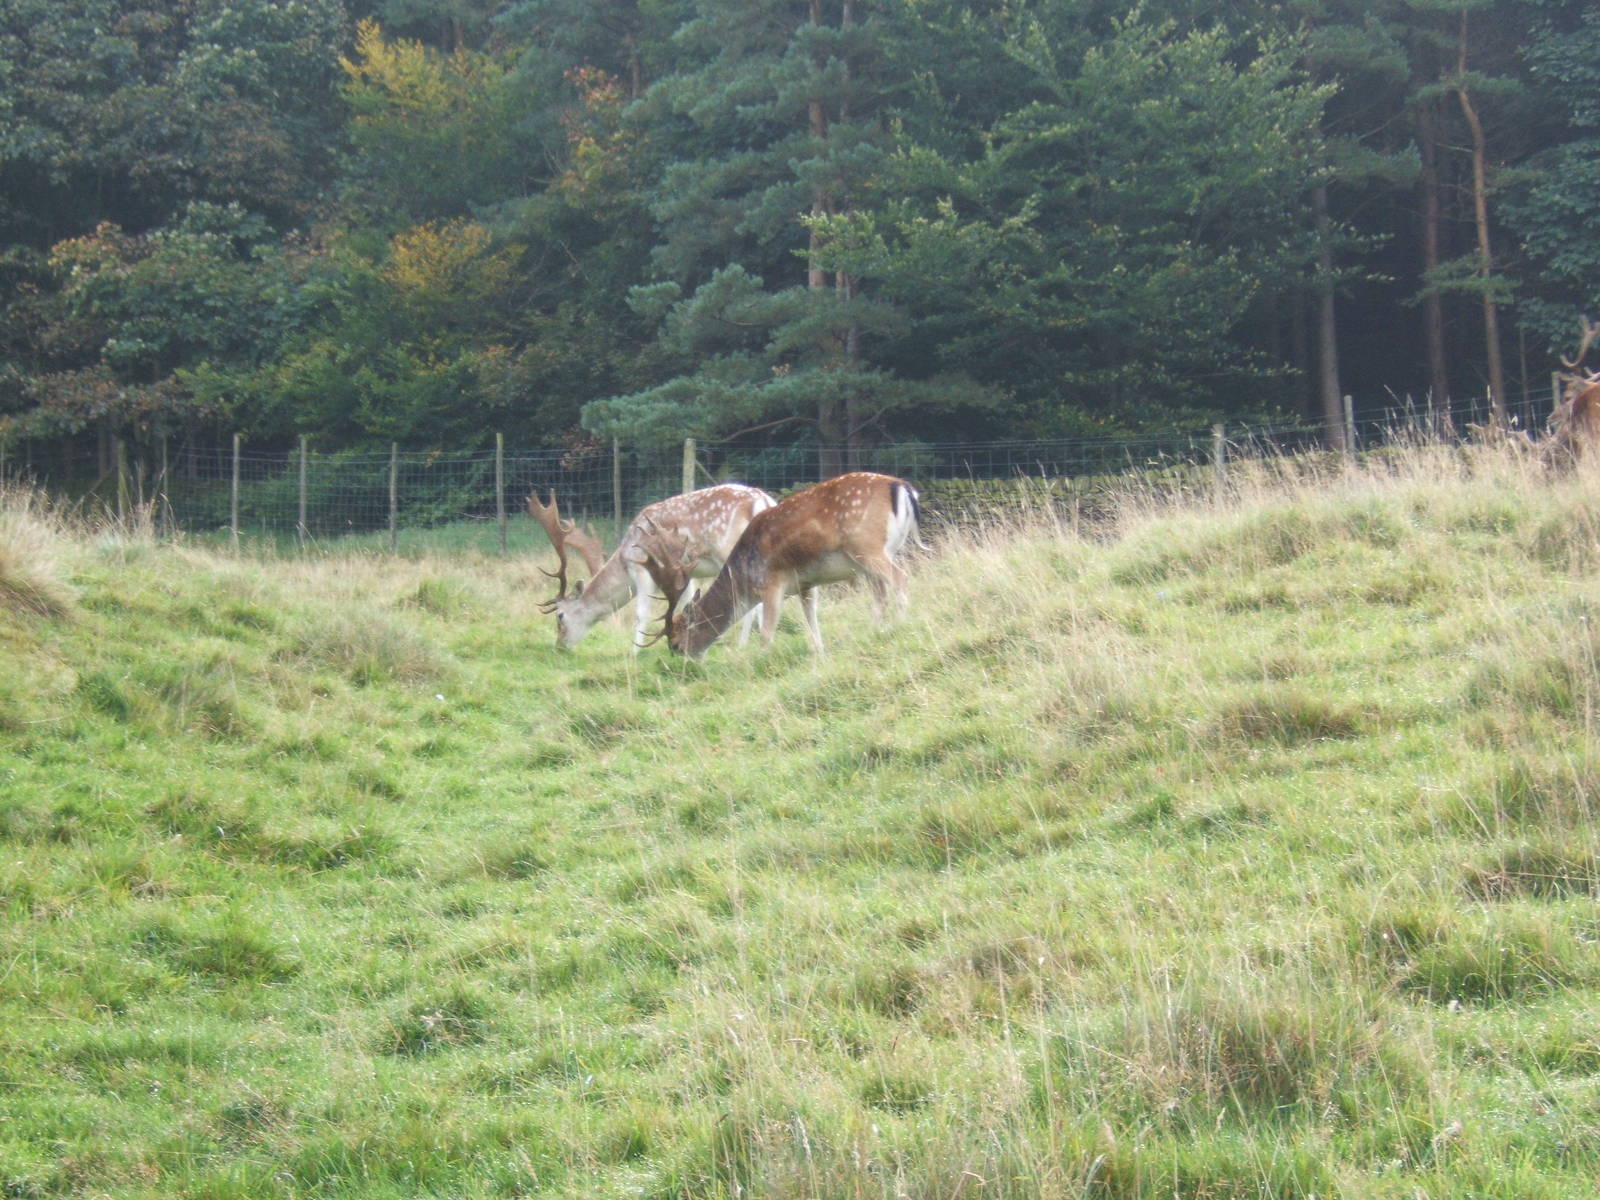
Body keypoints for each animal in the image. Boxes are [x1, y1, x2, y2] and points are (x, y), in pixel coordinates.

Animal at [529, 484, 777, 651]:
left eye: (560, 616)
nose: (559, 646)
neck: (623, 557)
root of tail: (762, 501)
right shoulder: (685, 573)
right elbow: (686, 603)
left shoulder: (640, 567)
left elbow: (642, 612)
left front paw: (634, 651)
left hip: (729, 550)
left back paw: (743, 644)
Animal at [639, 471, 924, 659]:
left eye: (676, 642)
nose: (684, 663)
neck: (744, 575)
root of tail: (903, 488)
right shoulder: (806, 583)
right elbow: (811, 619)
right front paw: (819, 652)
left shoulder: (772, 583)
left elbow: (766, 631)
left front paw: (761, 660)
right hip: (873, 557)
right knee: (880, 595)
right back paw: (874, 630)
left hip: (868, 546)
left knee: (901, 579)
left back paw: (898, 626)